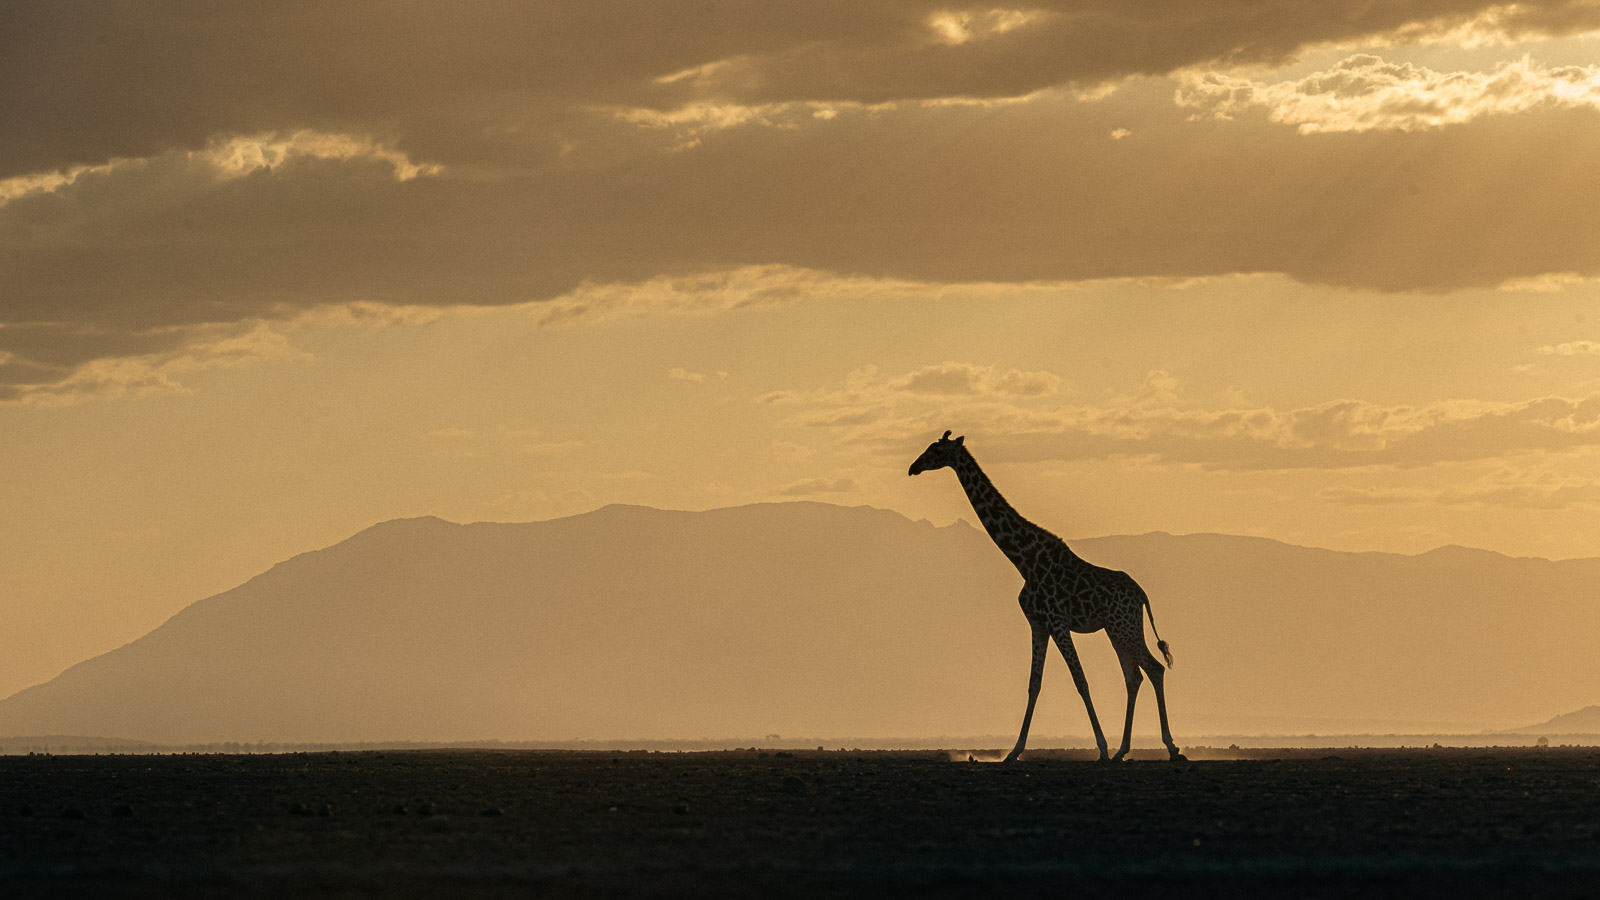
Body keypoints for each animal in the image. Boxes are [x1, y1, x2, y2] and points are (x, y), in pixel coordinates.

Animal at [909, 430, 1184, 763]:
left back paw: (1169, 747)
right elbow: (1034, 684)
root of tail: (1142, 594)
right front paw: (1014, 752)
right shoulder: (1038, 624)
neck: (1023, 559)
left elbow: (1080, 680)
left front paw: (1102, 748)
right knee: (1134, 677)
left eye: (936, 450)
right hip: (1117, 629)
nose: (913, 468)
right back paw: (1123, 751)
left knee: (1154, 668)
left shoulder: (1057, 621)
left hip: (1123, 627)